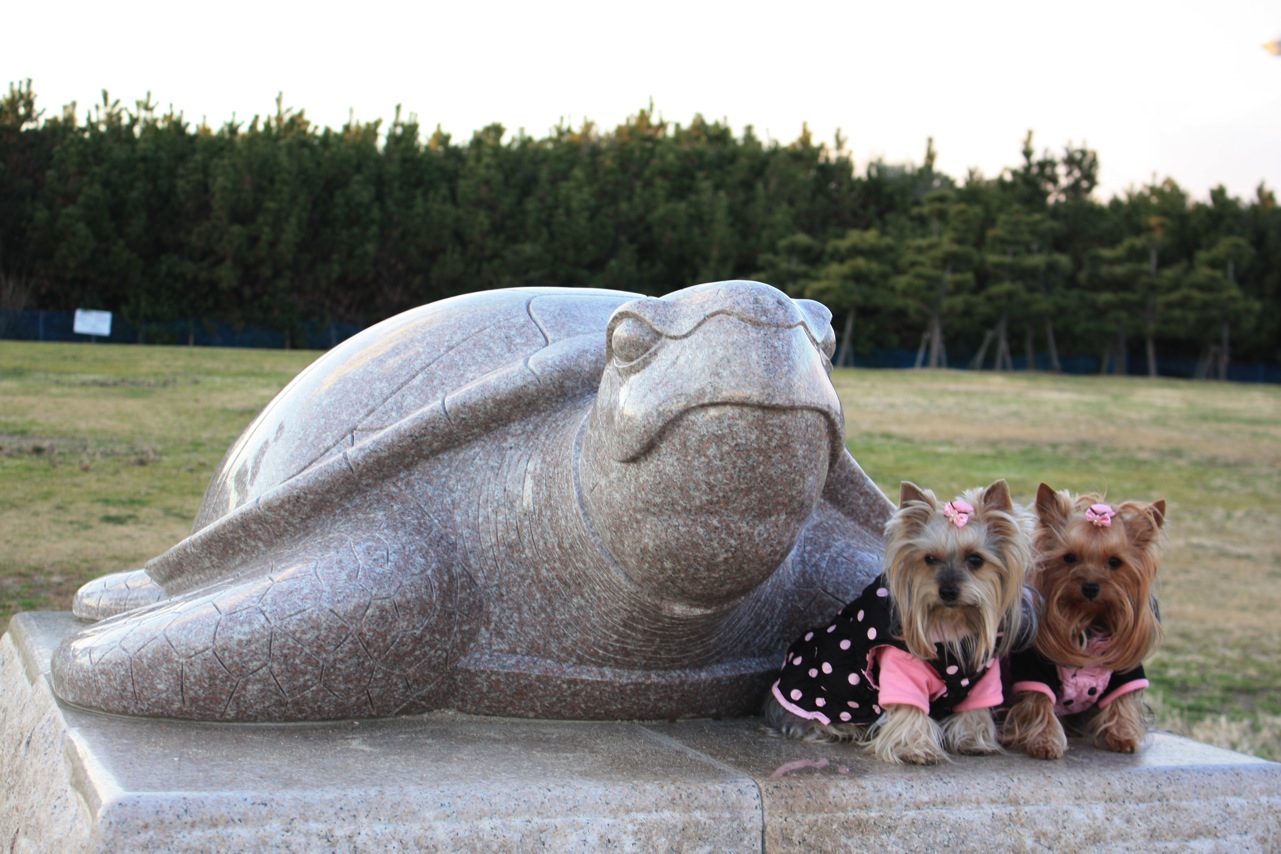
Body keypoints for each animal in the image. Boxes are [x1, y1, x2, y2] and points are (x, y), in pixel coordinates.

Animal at [763, 481, 1035, 768]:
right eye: (929, 559)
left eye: (976, 560)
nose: (948, 591)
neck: (952, 621)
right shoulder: (901, 664)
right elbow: (908, 705)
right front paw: (915, 750)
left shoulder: (983, 672)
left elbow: (977, 706)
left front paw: (974, 741)